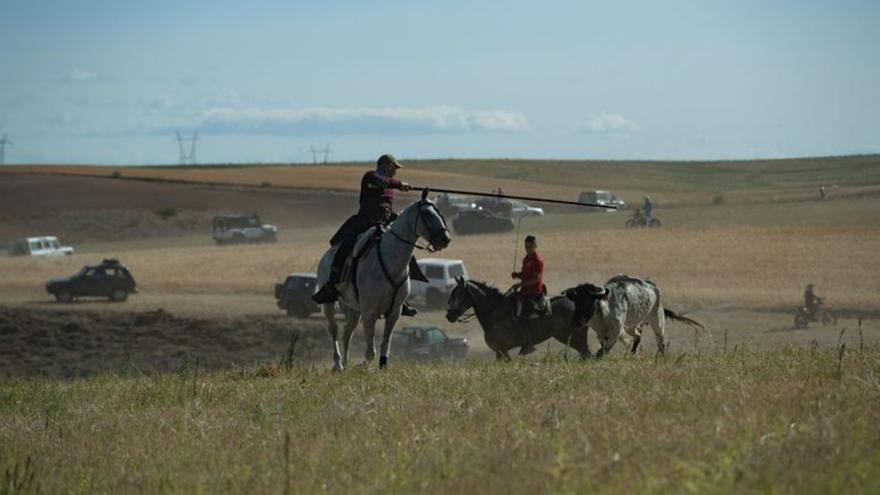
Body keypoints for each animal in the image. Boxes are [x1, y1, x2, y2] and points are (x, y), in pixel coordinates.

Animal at [316, 191, 450, 372]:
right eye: (427, 214)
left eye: (440, 213)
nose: (445, 239)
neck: (390, 261)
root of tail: (325, 257)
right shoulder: (370, 313)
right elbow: (370, 352)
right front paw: (361, 366)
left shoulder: (394, 313)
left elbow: (385, 345)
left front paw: (382, 367)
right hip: (330, 304)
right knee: (334, 330)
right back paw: (338, 364)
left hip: (354, 309)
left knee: (347, 332)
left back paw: (346, 363)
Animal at [446, 280, 592, 360]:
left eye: (459, 295)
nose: (449, 315)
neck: (494, 311)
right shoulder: (500, 352)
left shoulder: (502, 350)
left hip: (573, 337)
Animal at [564, 276, 708, 356]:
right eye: (575, 302)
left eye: (588, 301)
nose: (575, 323)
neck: (604, 311)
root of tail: (651, 284)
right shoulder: (601, 334)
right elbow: (602, 349)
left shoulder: (616, 333)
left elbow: (601, 352)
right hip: (632, 326)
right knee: (638, 336)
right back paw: (632, 355)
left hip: (657, 321)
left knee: (661, 343)